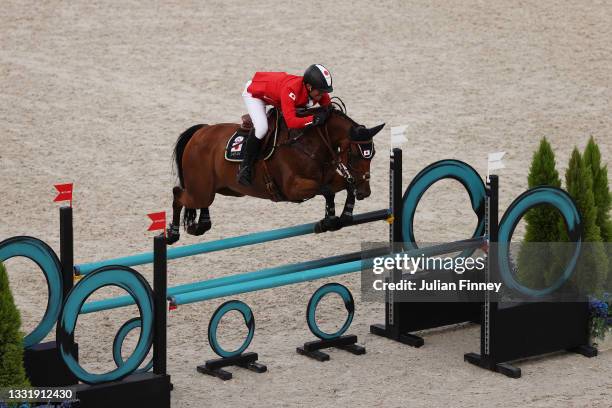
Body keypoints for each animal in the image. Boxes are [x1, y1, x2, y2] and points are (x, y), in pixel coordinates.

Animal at [165, 103, 384, 244]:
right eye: (354, 154)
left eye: (372, 154)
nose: (366, 192)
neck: (311, 143)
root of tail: (200, 132)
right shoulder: (293, 188)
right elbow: (326, 190)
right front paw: (328, 220)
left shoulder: (330, 176)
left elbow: (345, 185)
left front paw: (343, 216)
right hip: (200, 190)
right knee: (178, 194)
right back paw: (172, 235)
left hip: (224, 189)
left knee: (202, 202)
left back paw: (201, 224)